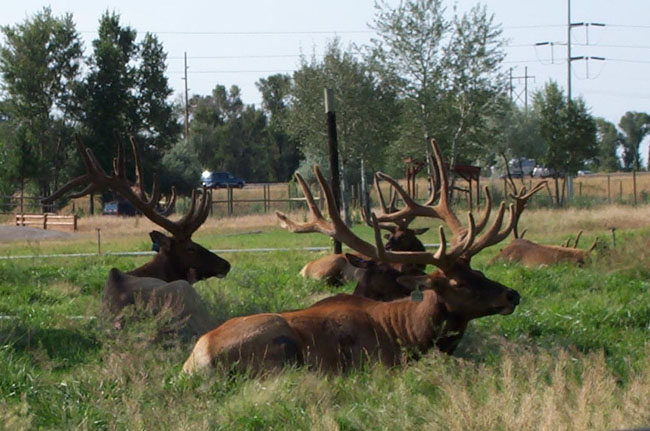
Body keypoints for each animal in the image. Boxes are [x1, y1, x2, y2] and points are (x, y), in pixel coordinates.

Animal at [182, 138, 531, 374]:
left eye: (480, 273)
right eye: (457, 283)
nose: (511, 295)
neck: (409, 333)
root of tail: (194, 364)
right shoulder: (379, 362)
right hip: (279, 344)